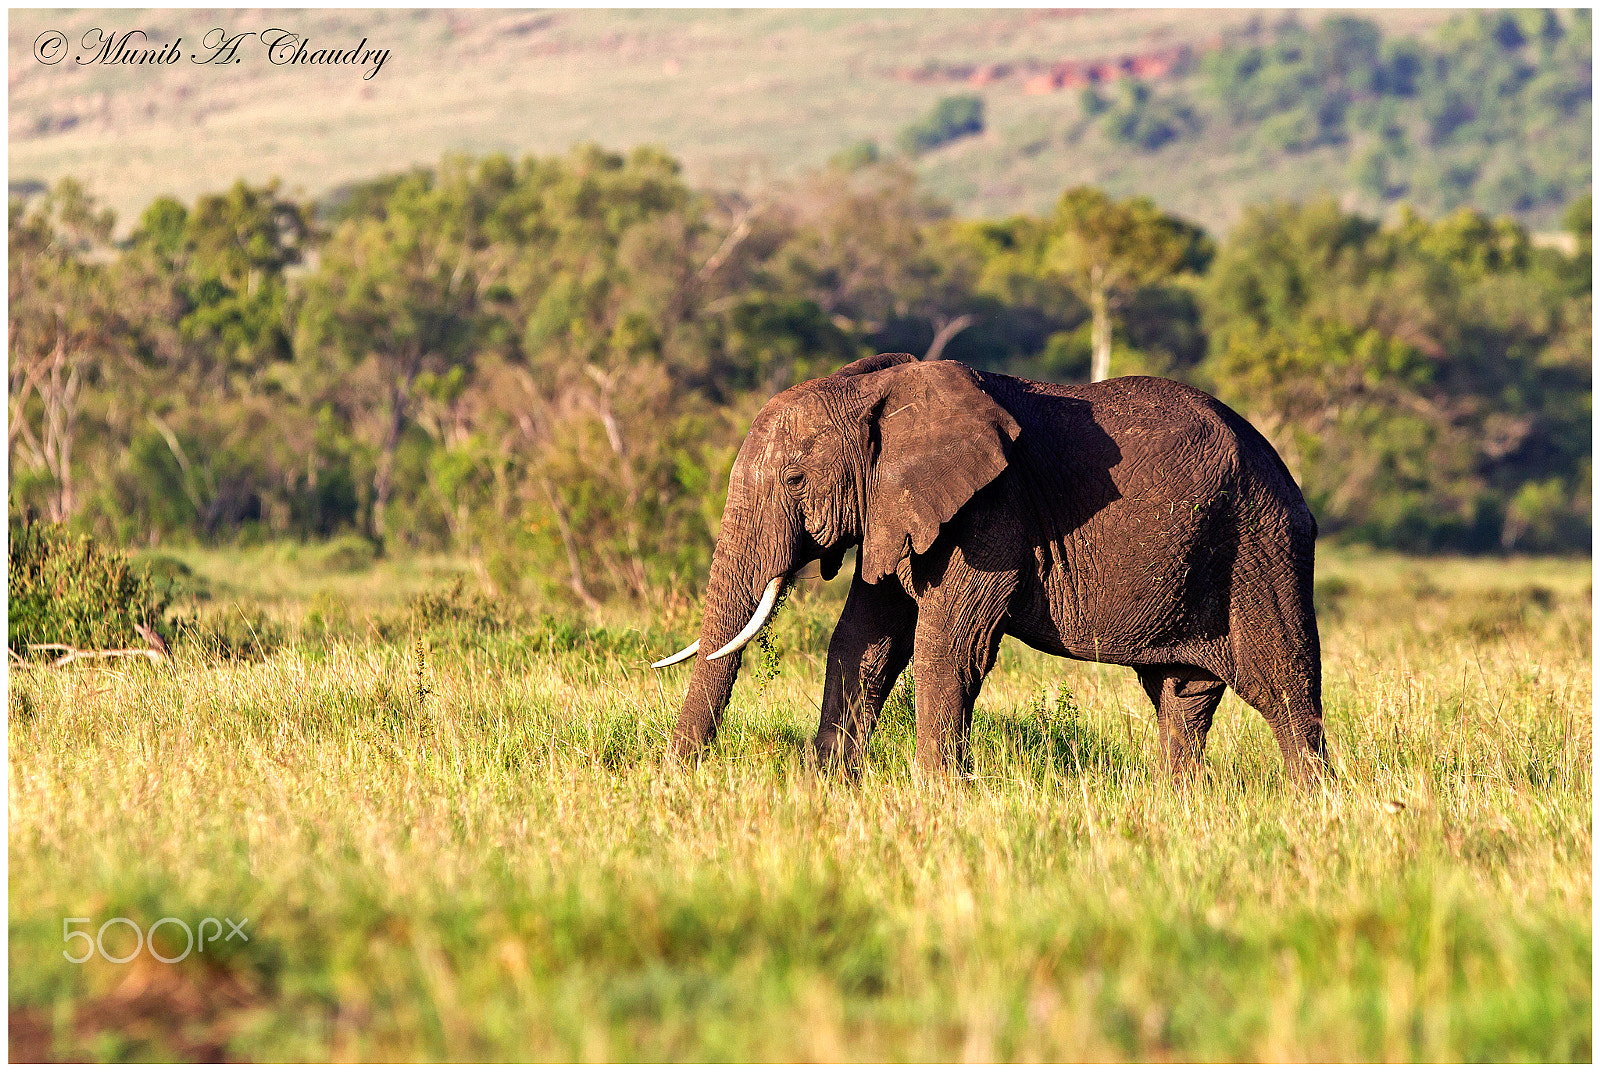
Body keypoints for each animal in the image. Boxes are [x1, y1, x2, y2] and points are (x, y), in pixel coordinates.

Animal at [649, 356, 1324, 784]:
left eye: (794, 480)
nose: (677, 781)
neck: (877, 390)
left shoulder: (992, 511)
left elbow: (949, 646)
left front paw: (935, 795)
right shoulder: (895, 510)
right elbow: (863, 643)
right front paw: (826, 789)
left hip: (1261, 544)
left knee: (1283, 684)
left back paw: (1311, 804)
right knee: (1183, 695)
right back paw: (1175, 803)